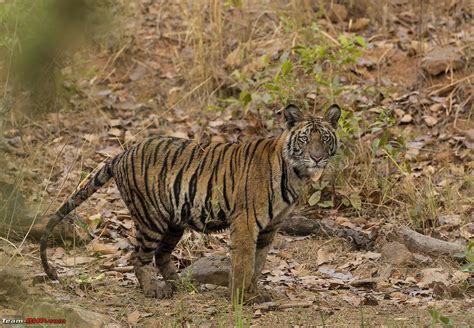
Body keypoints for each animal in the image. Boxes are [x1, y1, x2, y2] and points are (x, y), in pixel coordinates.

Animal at [39, 104, 338, 304]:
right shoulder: (245, 222)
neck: (296, 174)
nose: (317, 158)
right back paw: (154, 290)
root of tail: (123, 153)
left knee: (161, 255)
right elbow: (244, 263)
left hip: (174, 222)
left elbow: (258, 263)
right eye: (304, 138)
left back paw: (180, 284)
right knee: (139, 256)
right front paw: (241, 298)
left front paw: (255, 292)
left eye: (324, 138)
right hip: (150, 219)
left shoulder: (270, 227)